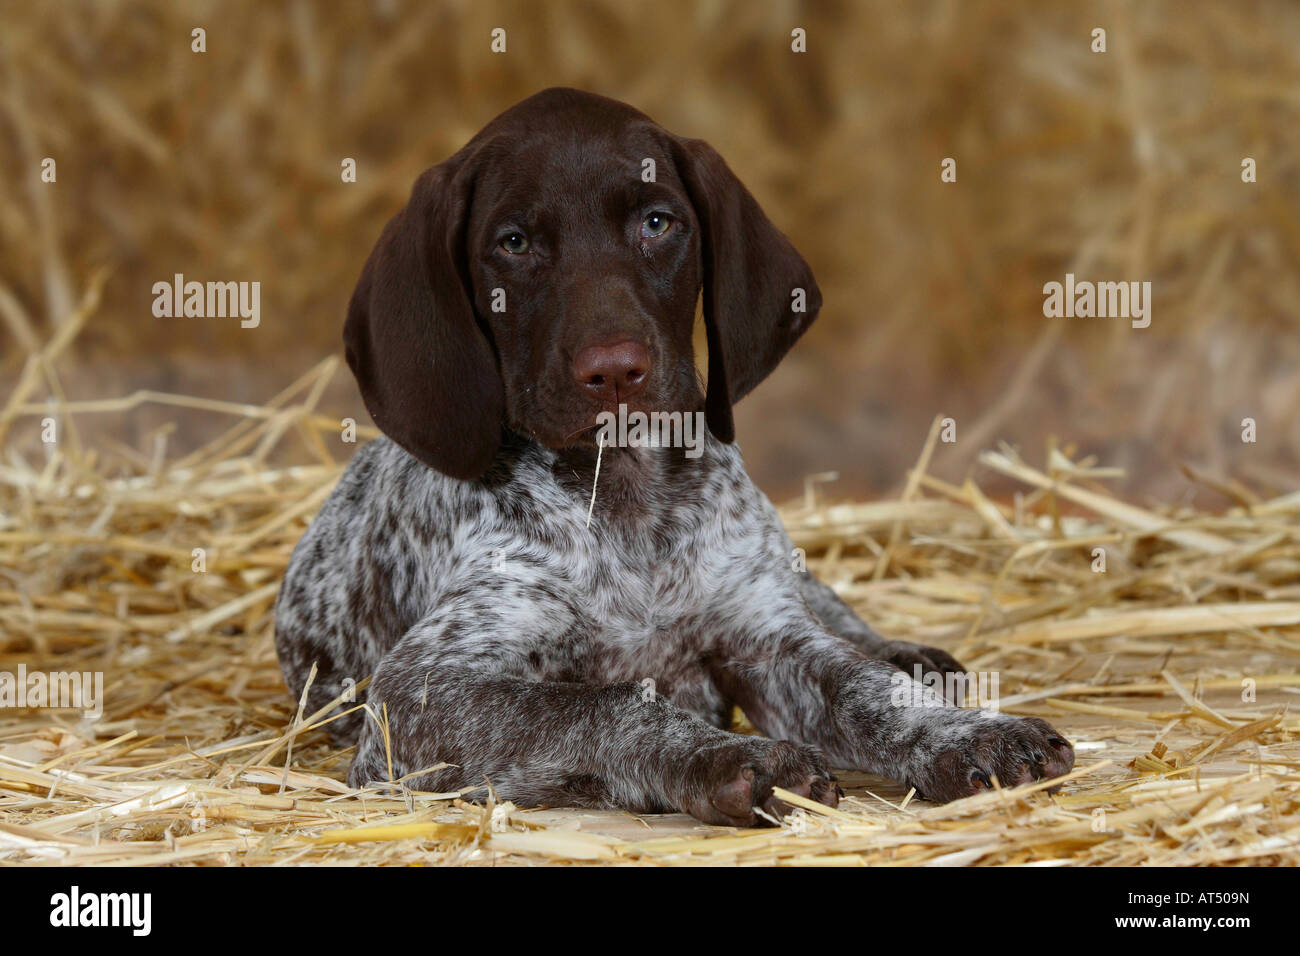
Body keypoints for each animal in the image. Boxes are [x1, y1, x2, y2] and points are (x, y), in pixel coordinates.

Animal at [271, 85, 1066, 827]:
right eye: (513, 243)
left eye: (657, 223)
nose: (615, 370)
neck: (627, 498)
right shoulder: (422, 692)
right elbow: (602, 704)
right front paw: (732, 758)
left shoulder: (766, 636)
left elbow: (866, 689)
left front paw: (968, 733)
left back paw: (913, 656)